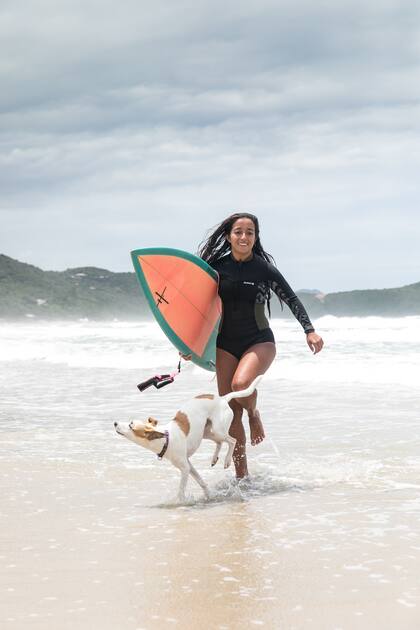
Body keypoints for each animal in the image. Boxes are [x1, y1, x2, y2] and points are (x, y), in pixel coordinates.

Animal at [114, 376, 262, 504]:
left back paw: (227, 460)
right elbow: (201, 481)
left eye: (131, 425)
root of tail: (222, 399)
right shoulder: (189, 465)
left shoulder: (185, 468)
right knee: (219, 442)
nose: (115, 423)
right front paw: (209, 495)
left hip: (218, 430)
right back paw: (214, 458)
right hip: (206, 433)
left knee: (232, 440)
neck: (166, 439)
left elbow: (181, 490)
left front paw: (182, 502)